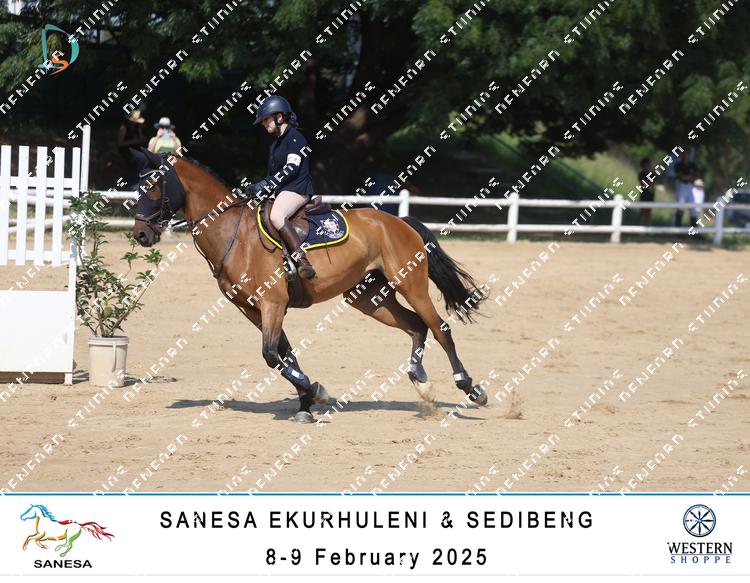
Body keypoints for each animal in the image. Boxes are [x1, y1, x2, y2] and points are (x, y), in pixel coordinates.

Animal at [130, 147, 489, 423]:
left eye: (152, 187)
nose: (141, 235)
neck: (233, 234)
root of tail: (399, 221)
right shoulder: (252, 309)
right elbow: (285, 354)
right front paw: (306, 401)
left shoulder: (272, 303)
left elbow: (271, 355)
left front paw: (315, 391)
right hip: (368, 297)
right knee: (416, 326)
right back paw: (421, 383)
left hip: (410, 286)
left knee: (441, 328)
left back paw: (470, 387)